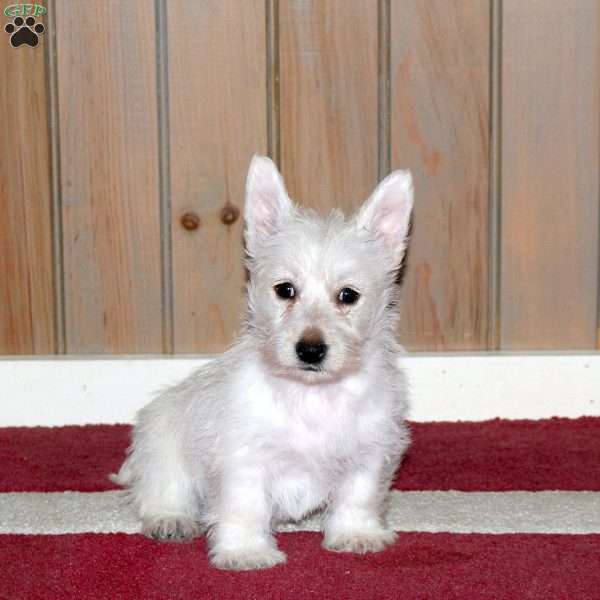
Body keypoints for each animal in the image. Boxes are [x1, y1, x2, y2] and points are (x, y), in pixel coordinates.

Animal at [113, 152, 412, 568]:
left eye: (348, 295)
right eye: (285, 290)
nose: (310, 350)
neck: (312, 396)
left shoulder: (369, 451)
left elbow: (359, 496)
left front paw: (356, 535)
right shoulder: (245, 460)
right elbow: (245, 507)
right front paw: (246, 552)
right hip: (163, 443)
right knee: (162, 489)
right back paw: (170, 519)